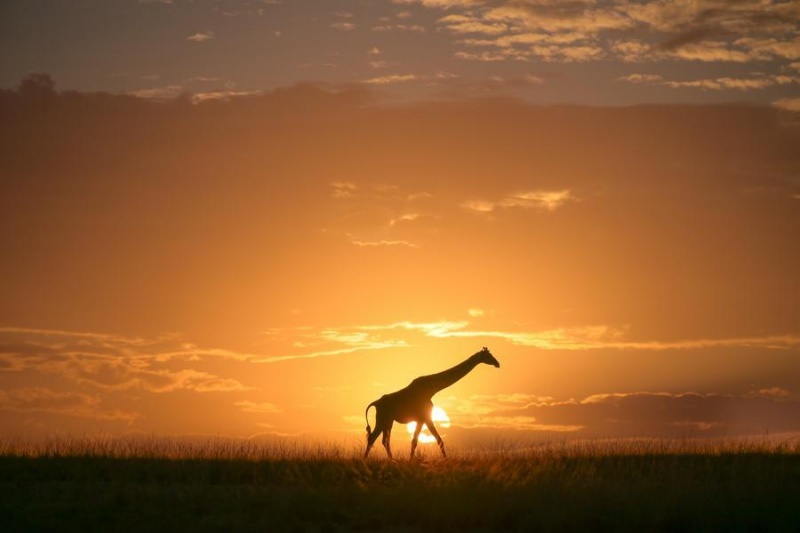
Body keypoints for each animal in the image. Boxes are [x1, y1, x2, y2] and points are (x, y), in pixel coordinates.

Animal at [364, 347, 500, 459]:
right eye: (488, 355)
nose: (498, 363)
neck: (431, 390)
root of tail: (375, 403)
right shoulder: (426, 417)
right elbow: (438, 440)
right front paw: (445, 460)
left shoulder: (420, 419)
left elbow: (415, 441)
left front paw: (411, 460)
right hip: (383, 419)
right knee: (373, 438)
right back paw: (367, 460)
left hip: (388, 421)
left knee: (384, 441)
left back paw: (391, 460)